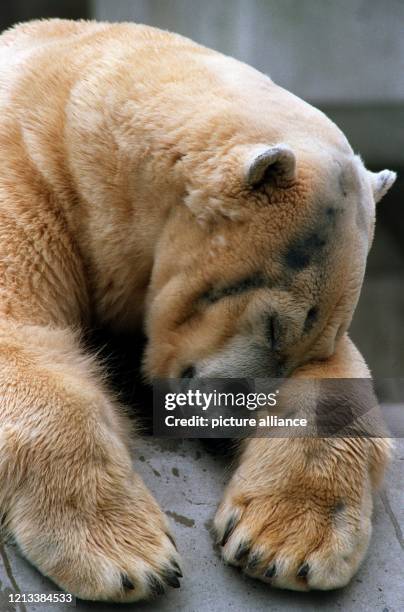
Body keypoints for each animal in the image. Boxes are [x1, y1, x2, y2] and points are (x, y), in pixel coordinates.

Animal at [0, 17, 396, 604]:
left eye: (312, 343)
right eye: (273, 326)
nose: (226, 426)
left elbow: (340, 383)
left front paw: (284, 545)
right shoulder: (28, 184)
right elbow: (20, 332)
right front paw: (129, 556)